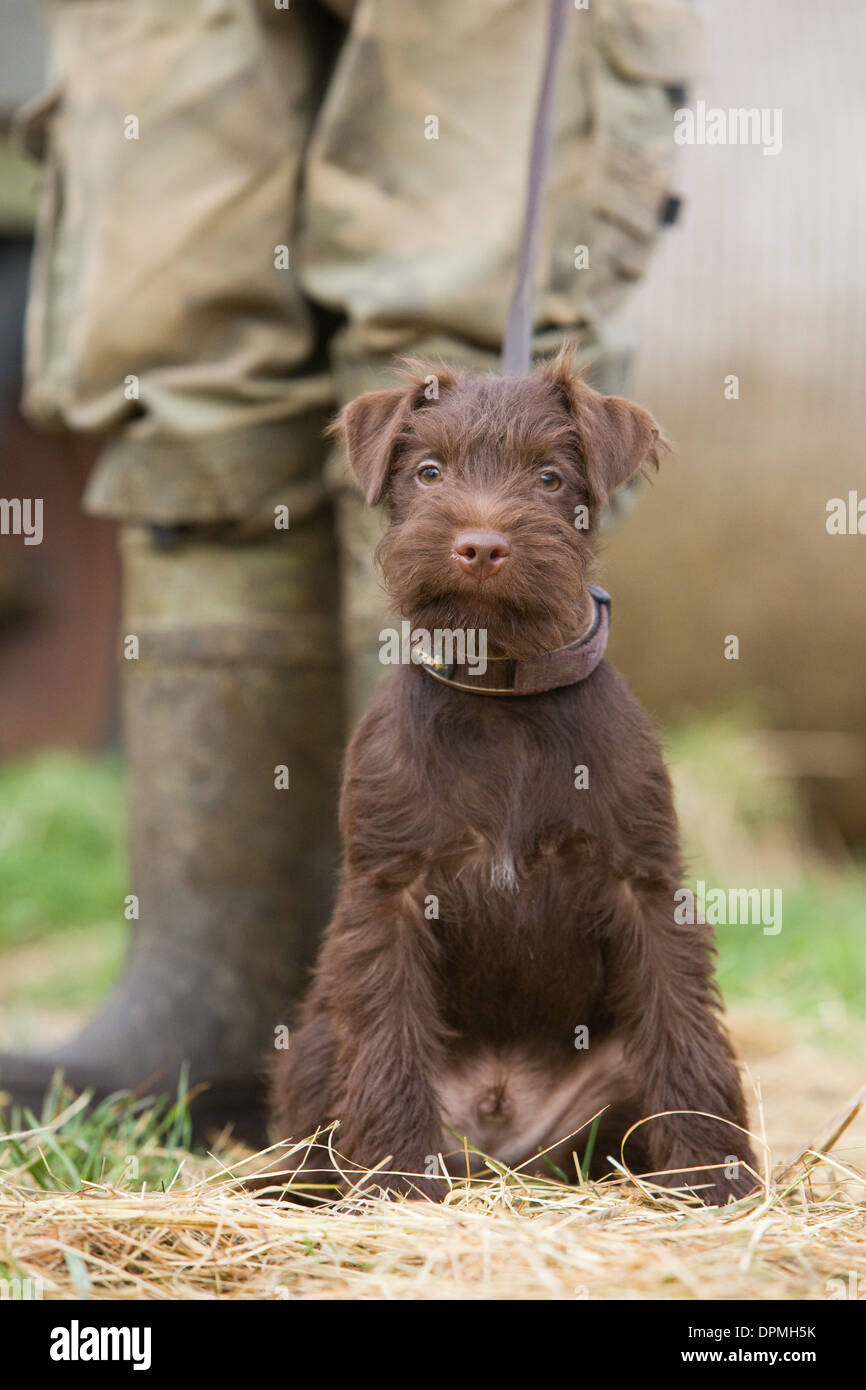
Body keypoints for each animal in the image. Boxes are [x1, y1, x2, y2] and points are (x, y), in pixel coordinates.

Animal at [272, 350, 756, 1206]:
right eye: (428, 472)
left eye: (551, 479)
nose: (481, 545)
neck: (500, 691)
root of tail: (500, 1141)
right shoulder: (390, 894)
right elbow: (389, 1047)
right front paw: (398, 1180)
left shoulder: (645, 886)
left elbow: (685, 1033)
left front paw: (712, 1178)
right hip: (320, 1038)